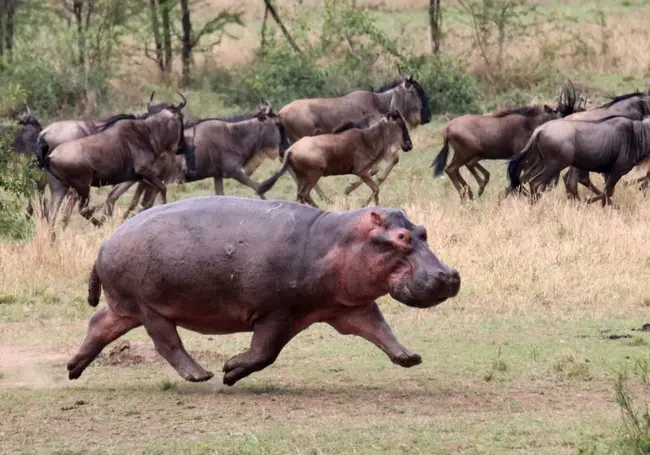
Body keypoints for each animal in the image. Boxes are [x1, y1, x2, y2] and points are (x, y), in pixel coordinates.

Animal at [256, 111, 410, 208]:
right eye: (400, 124)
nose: (409, 145)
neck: (368, 139)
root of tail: (290, 151)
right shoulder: (360, 171)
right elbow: (376, 187)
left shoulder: (365, 170)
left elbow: (375, 181)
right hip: (314, 174)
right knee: (304, 194)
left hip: (302, 177)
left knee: (301, 195)